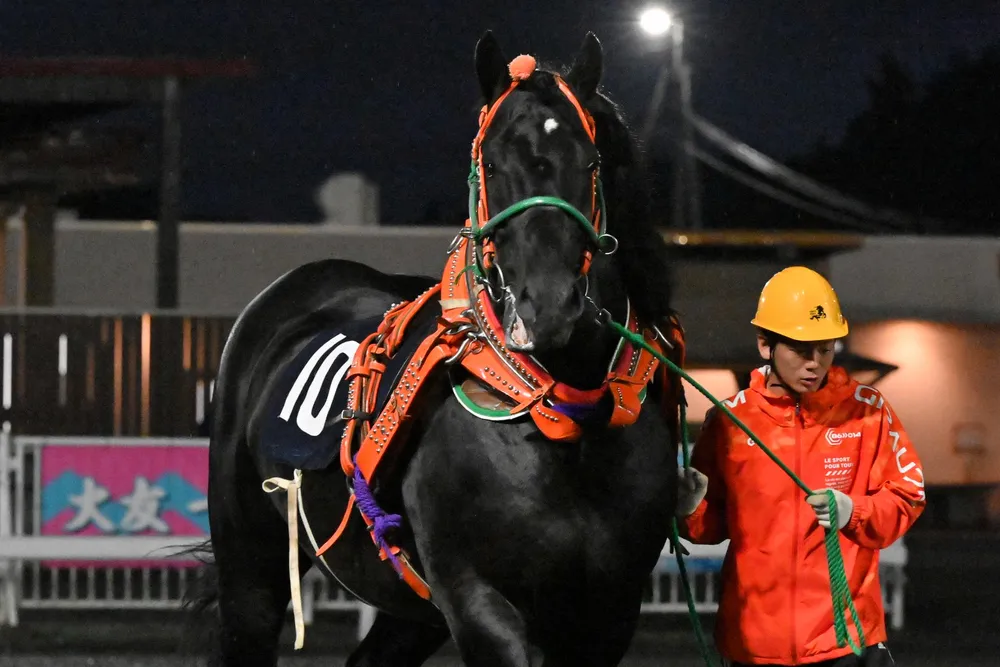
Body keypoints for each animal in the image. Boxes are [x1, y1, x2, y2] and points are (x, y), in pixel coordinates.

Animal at [184, 29, 686, 667]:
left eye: (591, 162)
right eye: (491, 163)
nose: (547, 306)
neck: (561, 418)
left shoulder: (608, 613)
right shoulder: (476, 599)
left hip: (411, 609)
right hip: (250, 560)